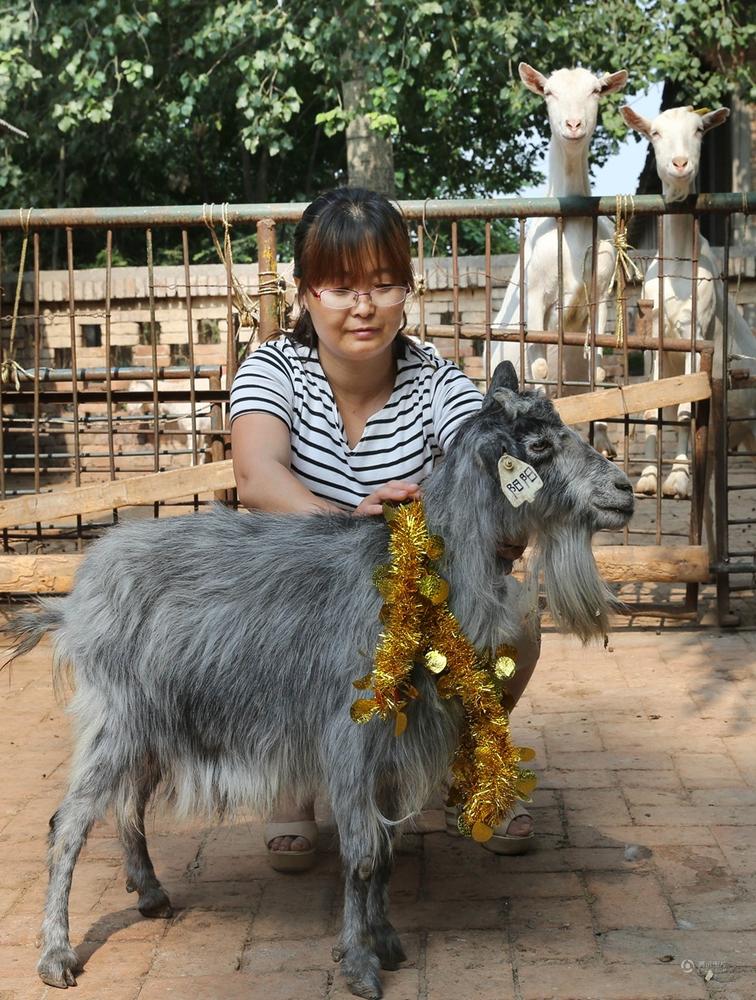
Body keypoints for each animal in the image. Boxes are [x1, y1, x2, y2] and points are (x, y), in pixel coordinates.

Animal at [2, 364, 636, 996]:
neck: (417, 577)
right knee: (69, 822)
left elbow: (386, 851)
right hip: (117, 716)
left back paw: (151, 894)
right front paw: (359, 964)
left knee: (128, 802)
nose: (625, 491)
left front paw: (387, 942)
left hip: (156, 722)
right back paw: (56, 955)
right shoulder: (352, 736)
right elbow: (362, 854)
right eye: (540, 446)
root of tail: (76, 599)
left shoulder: (395, 745)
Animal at [490, 66, 628, 460]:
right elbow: (538, 367)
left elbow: (599, 372)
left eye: (596, 90)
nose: (573, 124)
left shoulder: (601, 293)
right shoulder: (536, 292)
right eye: (549, 92)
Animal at [620, 104, 756, 496]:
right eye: (655, 133)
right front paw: (649, 478)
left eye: (699, 130)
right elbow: (652, 409)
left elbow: (684, 411)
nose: (680, 164)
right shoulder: (653, 339)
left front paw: (679, 478)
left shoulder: (696, 333)